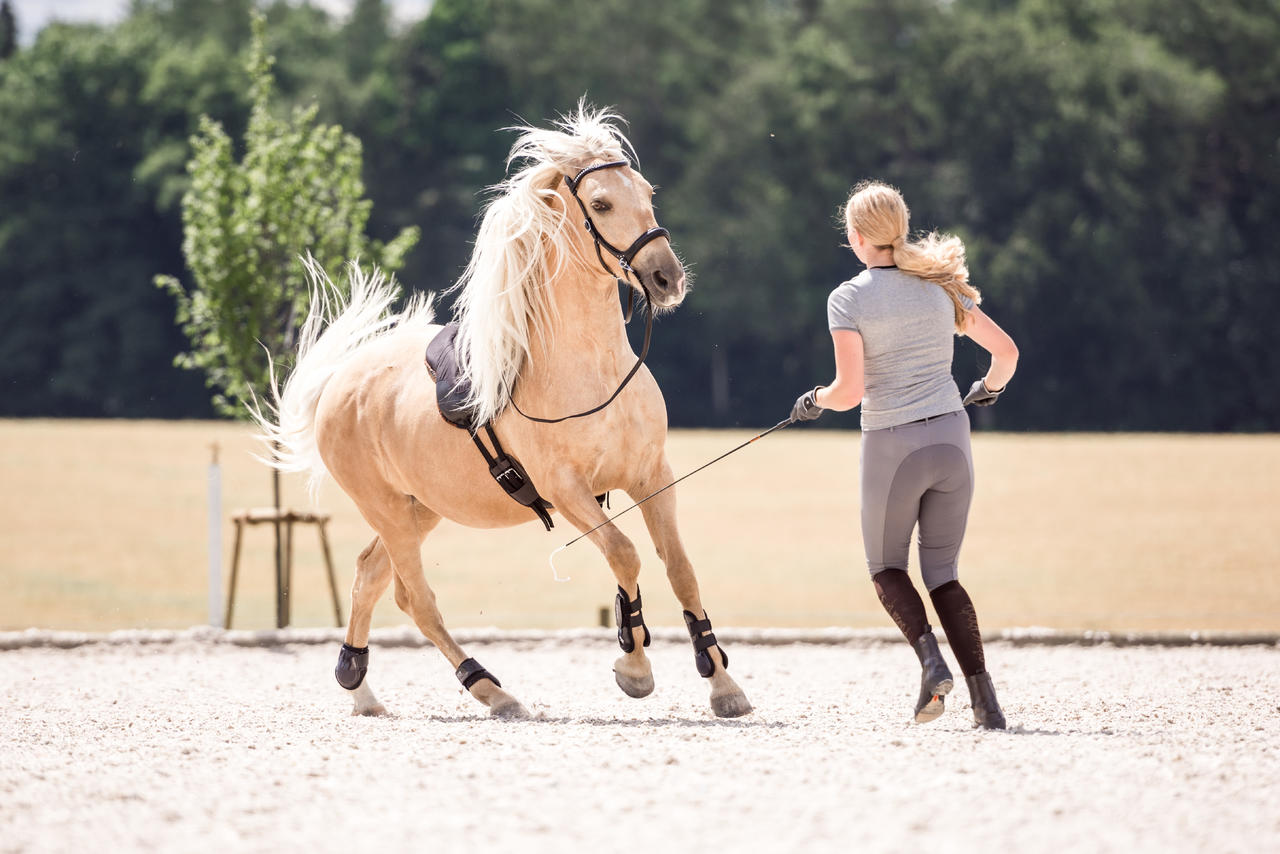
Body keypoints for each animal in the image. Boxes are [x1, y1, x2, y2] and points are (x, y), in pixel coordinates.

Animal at [261, 108, 752, 722]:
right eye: (601, 204)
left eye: (647, 193)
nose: (668, 279)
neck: (592, 370)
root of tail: (337, 382)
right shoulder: (567, 490)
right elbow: (624, 553)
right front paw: (634, 667)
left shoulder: (651, 477)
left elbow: (678, 569)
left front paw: (722, 684)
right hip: (388, 510)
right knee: (414, 598)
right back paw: (492, 691)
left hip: (421, 507)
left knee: (370, 576)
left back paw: (361, 688)